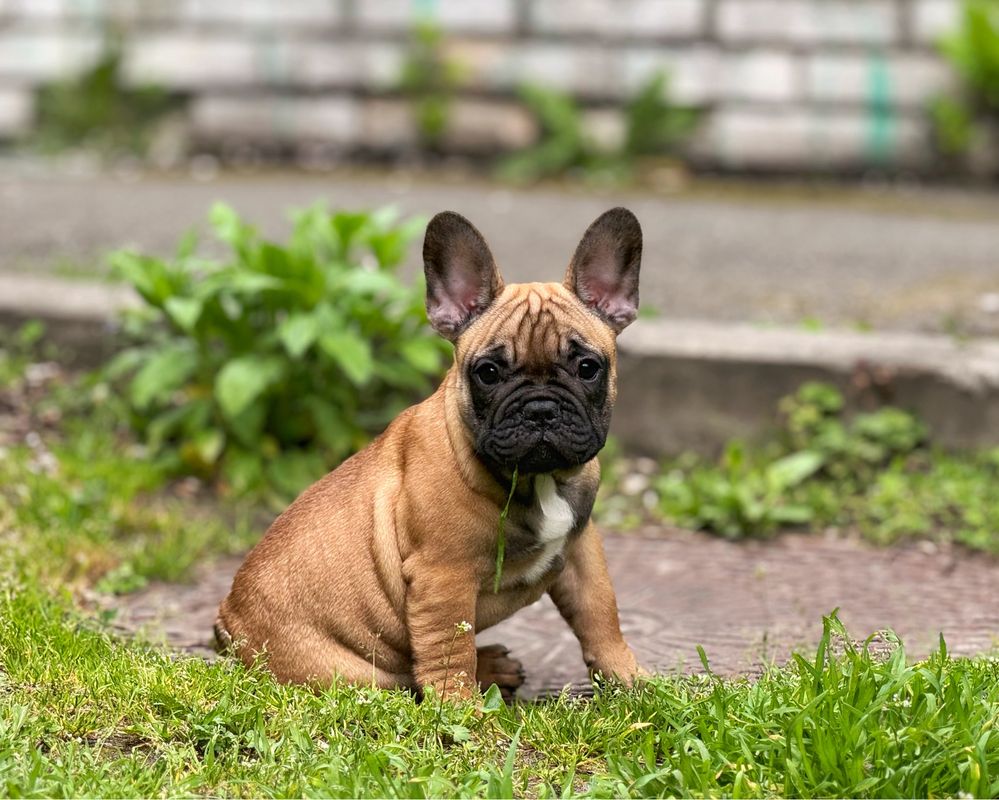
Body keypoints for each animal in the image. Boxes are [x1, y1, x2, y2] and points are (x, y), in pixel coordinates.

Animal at [215, 208, 644, 700]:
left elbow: (600, 613)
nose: (540, 408)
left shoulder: (581, 549)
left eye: (588, 368)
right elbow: (448, 653)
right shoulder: (442, 578)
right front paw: (462, 712)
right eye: (488, 373)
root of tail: (230, 630)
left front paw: (631, 681)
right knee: (408, 677)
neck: (535, 480)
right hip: (355, 674)